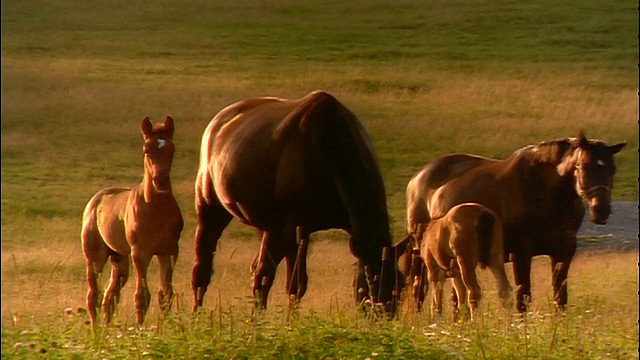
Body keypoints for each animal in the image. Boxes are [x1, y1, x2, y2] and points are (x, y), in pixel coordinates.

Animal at [81, 116, 184, 326]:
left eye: (172, 149)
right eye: (146, 149)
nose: (160, 181)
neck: (156, 210)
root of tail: (96, 200)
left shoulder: (169, 252)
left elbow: (166, 294)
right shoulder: (140, 253)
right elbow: (142, 296)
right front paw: (140, 330)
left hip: (119, 258)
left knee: (110, 297)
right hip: (95, 258)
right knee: (93, 296)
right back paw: (96, 333)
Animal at [190, 90, 402, 316]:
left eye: (400, 286)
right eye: (371, 281)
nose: (384, 316)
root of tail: (217, 123)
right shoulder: (295, 227)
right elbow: (296, 284)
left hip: (271, 227)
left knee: (260, 274)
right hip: (211, 209)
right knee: (202, 268)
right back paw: (195, 315)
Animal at [408, 131, 624, 314]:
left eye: (612, 169)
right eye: (583, 166)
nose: (601, 210)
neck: (545, 193)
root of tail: (418, 178)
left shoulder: (564, 252)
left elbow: (560, 298)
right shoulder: (521, 253)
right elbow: (524, 297)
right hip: (424, 256)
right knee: (420, 290)